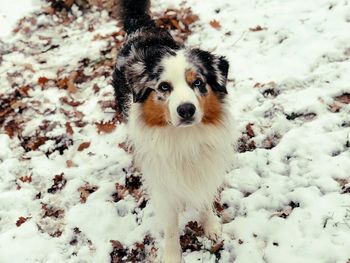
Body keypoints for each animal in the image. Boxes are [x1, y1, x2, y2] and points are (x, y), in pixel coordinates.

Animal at [113, 1, 237, 262]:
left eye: (198, 82)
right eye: (163, 87)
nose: (186, 109)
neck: (184, 138)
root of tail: (141, 27)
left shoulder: (204, 169)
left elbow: (204, 199)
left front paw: (210, 225)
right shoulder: (163, 184)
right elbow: (170, 227)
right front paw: (171, 255)